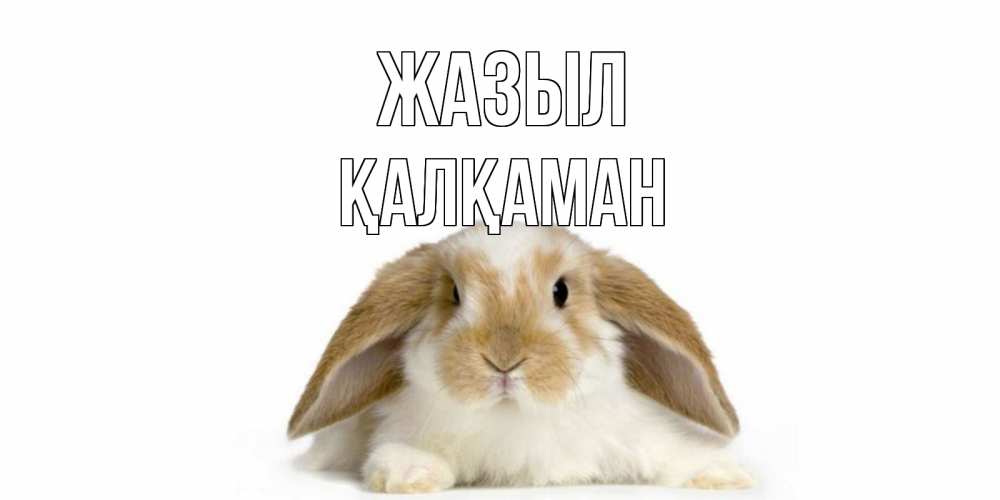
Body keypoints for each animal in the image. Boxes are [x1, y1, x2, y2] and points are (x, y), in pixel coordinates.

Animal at [288, 225, 753, 493]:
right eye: (454, 293)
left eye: (561, 291)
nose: (504, 360)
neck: (514, 416)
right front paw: (409, 474)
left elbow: (671, 452)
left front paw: (724, 475)